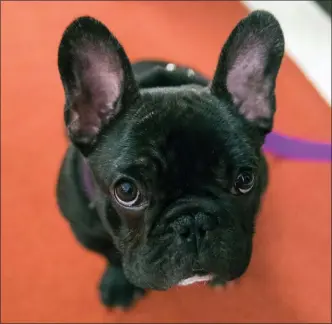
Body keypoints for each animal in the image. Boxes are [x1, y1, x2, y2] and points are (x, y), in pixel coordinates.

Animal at [55, 10, 284, 308]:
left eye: (245, 180)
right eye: (126, 191)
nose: (195, 222)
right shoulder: (86, 232)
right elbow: (111, 254)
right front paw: (119, 282)